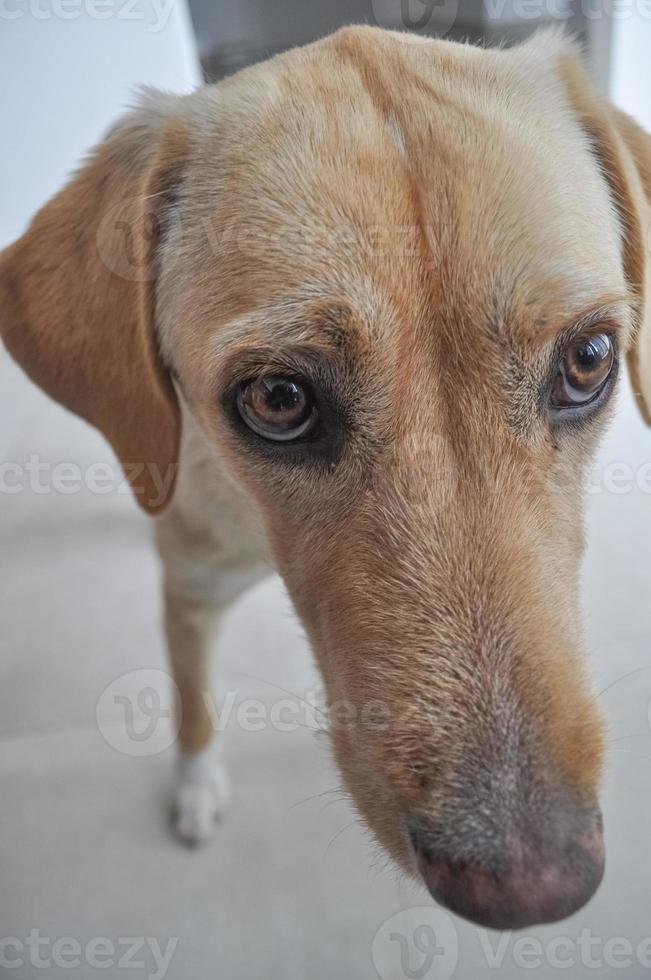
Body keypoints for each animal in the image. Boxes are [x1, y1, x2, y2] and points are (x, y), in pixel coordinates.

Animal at [1, 23, 651, 928]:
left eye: (588, 359)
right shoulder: (189, 591)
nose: (534, 886)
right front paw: (195, 786)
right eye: (277, 400)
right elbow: (190, 702)